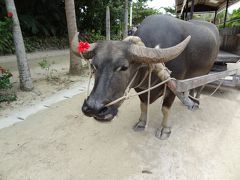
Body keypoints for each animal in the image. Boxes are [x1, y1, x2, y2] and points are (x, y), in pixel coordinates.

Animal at [71, 15, 219, 139]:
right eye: (94, 66)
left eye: (124, 67)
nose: (93, 108)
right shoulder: (140, 88)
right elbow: (143, 105)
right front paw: (141, 122)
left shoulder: (173, 86)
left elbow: (165, 109)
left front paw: (164, 129)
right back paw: (188, 100)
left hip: (205, 72)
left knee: (200, 87)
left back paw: (195, 102)